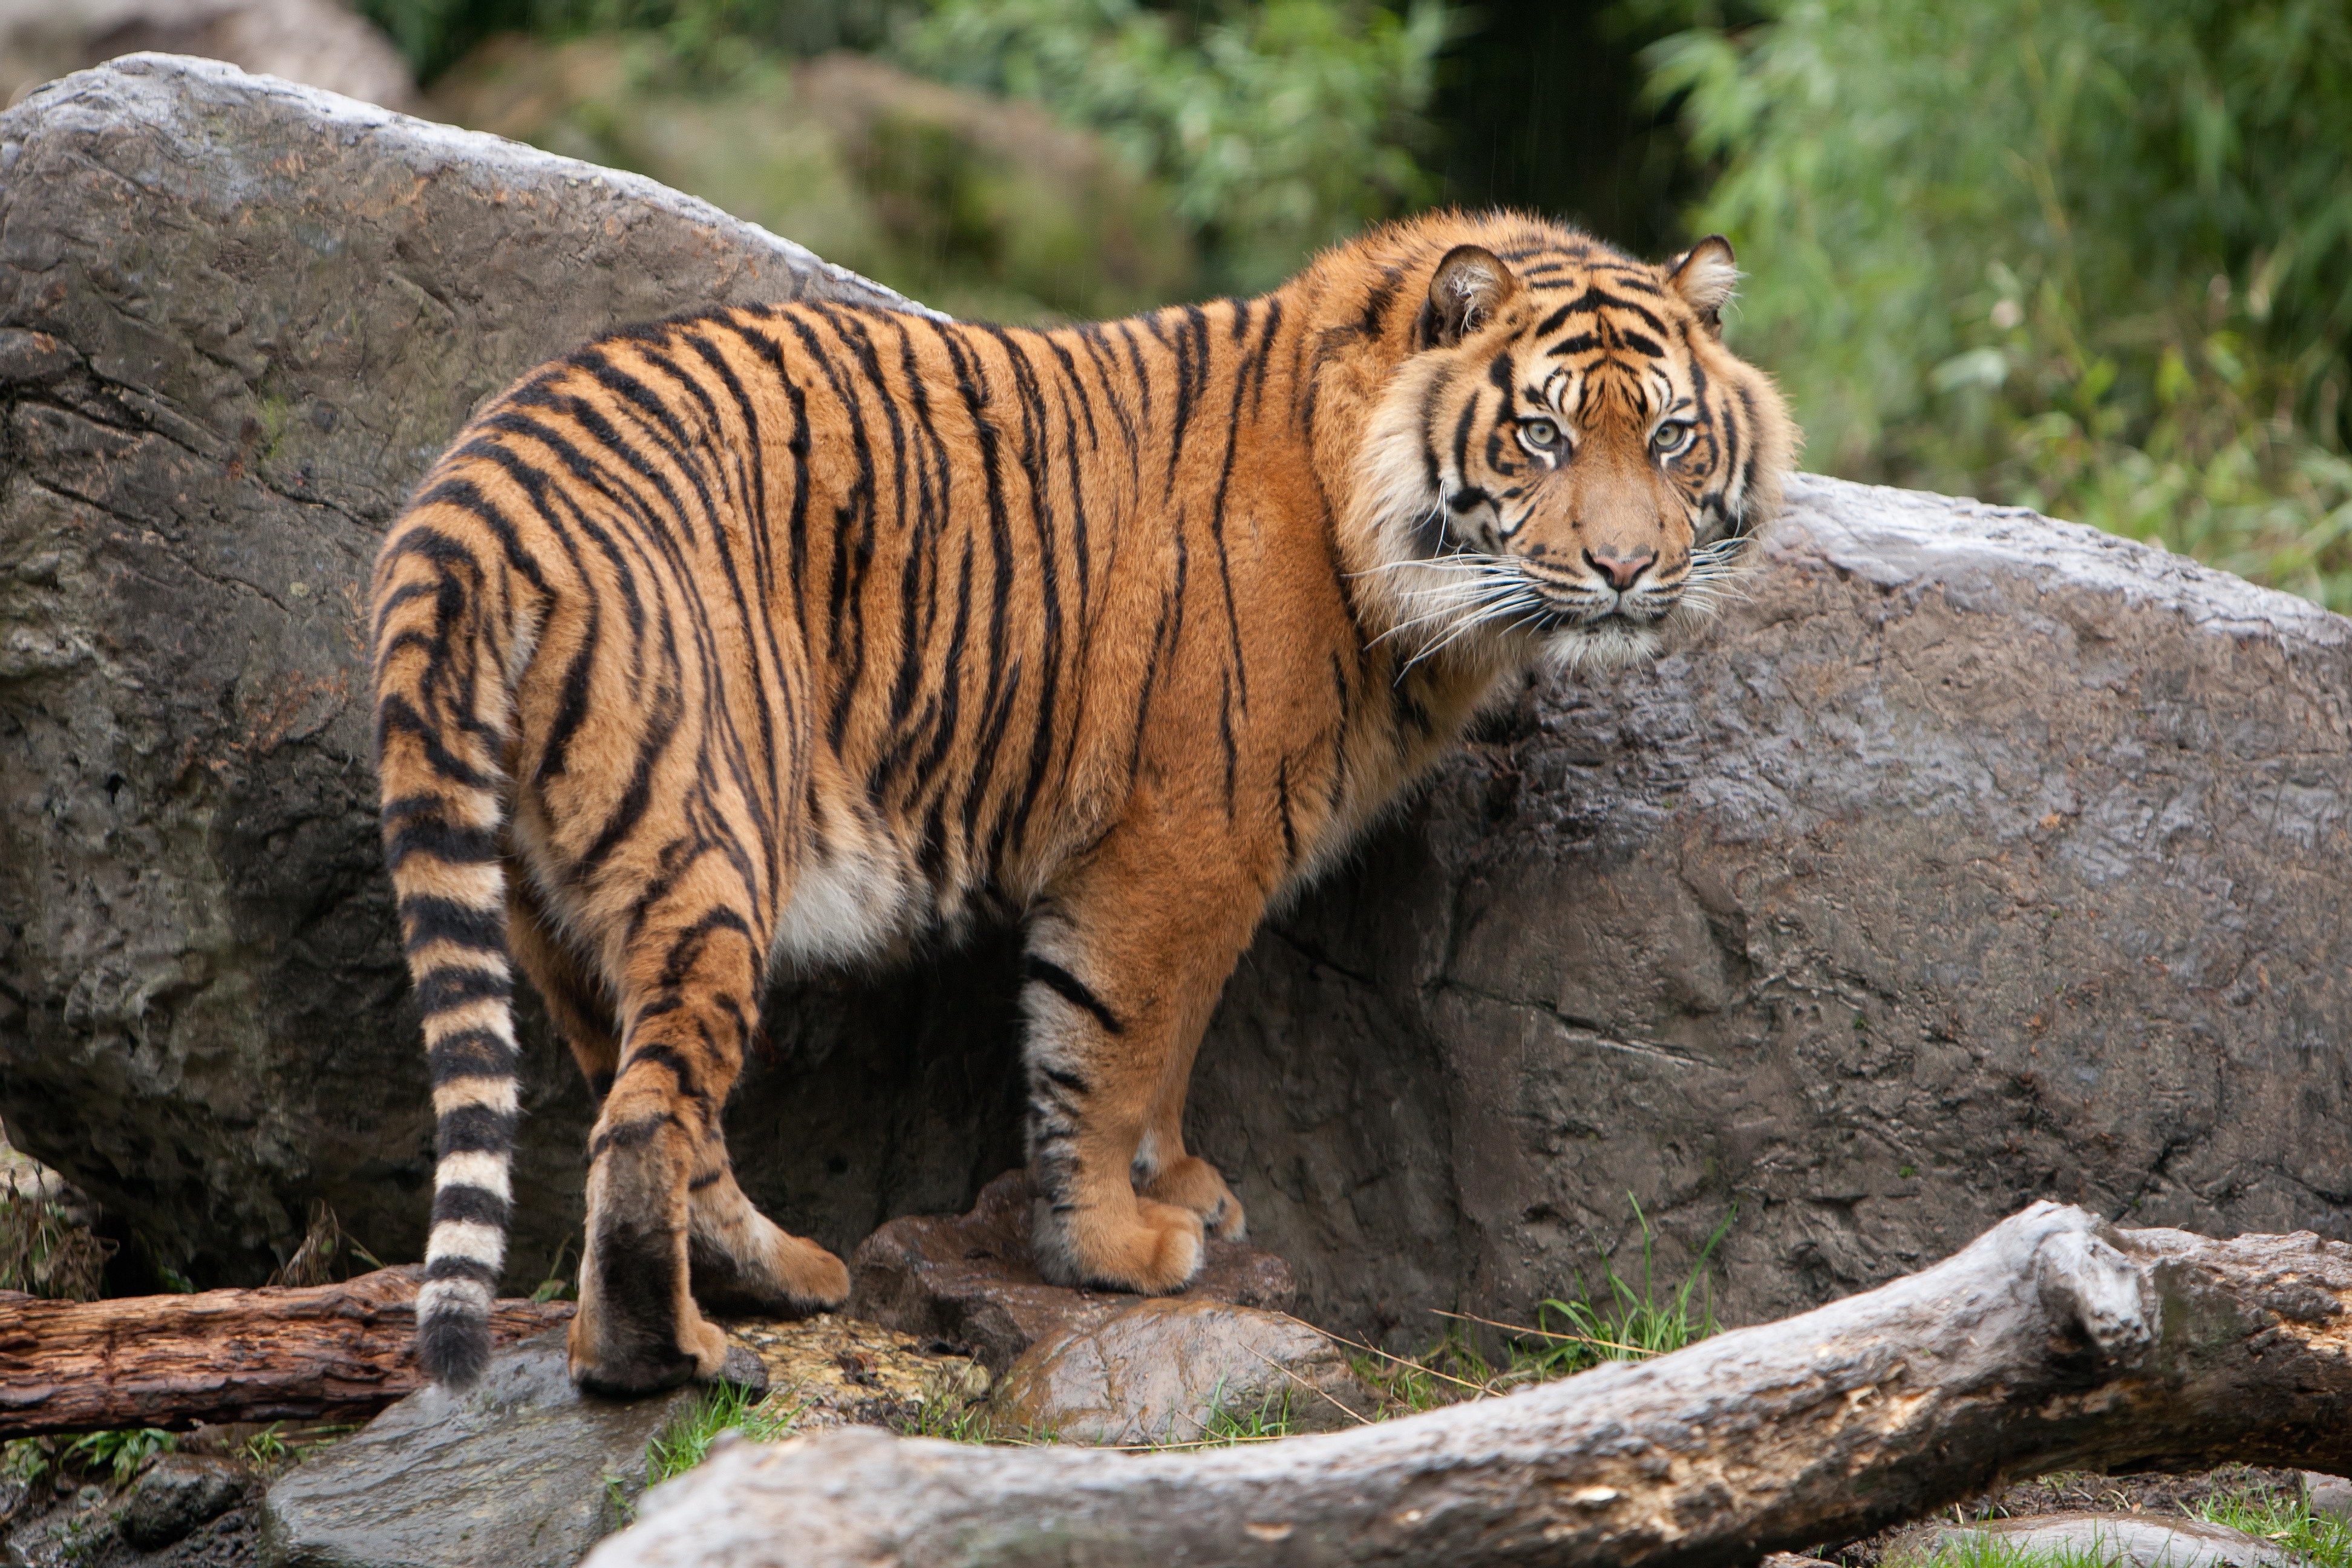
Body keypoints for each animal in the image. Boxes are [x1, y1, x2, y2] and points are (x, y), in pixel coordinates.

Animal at [369, 209, 1797, 1394]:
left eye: (1669, 437)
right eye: (1540, 435)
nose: (1625, 568)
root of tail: (467, 507)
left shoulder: (1227, 856)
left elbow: (1172, 1044)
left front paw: (1181, 1187)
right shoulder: (1176, 842)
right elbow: (1108, 1045)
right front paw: (1115, 1244)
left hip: (557, 901)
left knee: (653, 1100)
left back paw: (778, 1275)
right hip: (710, 842)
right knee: (641, 1123)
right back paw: (668, 1356)